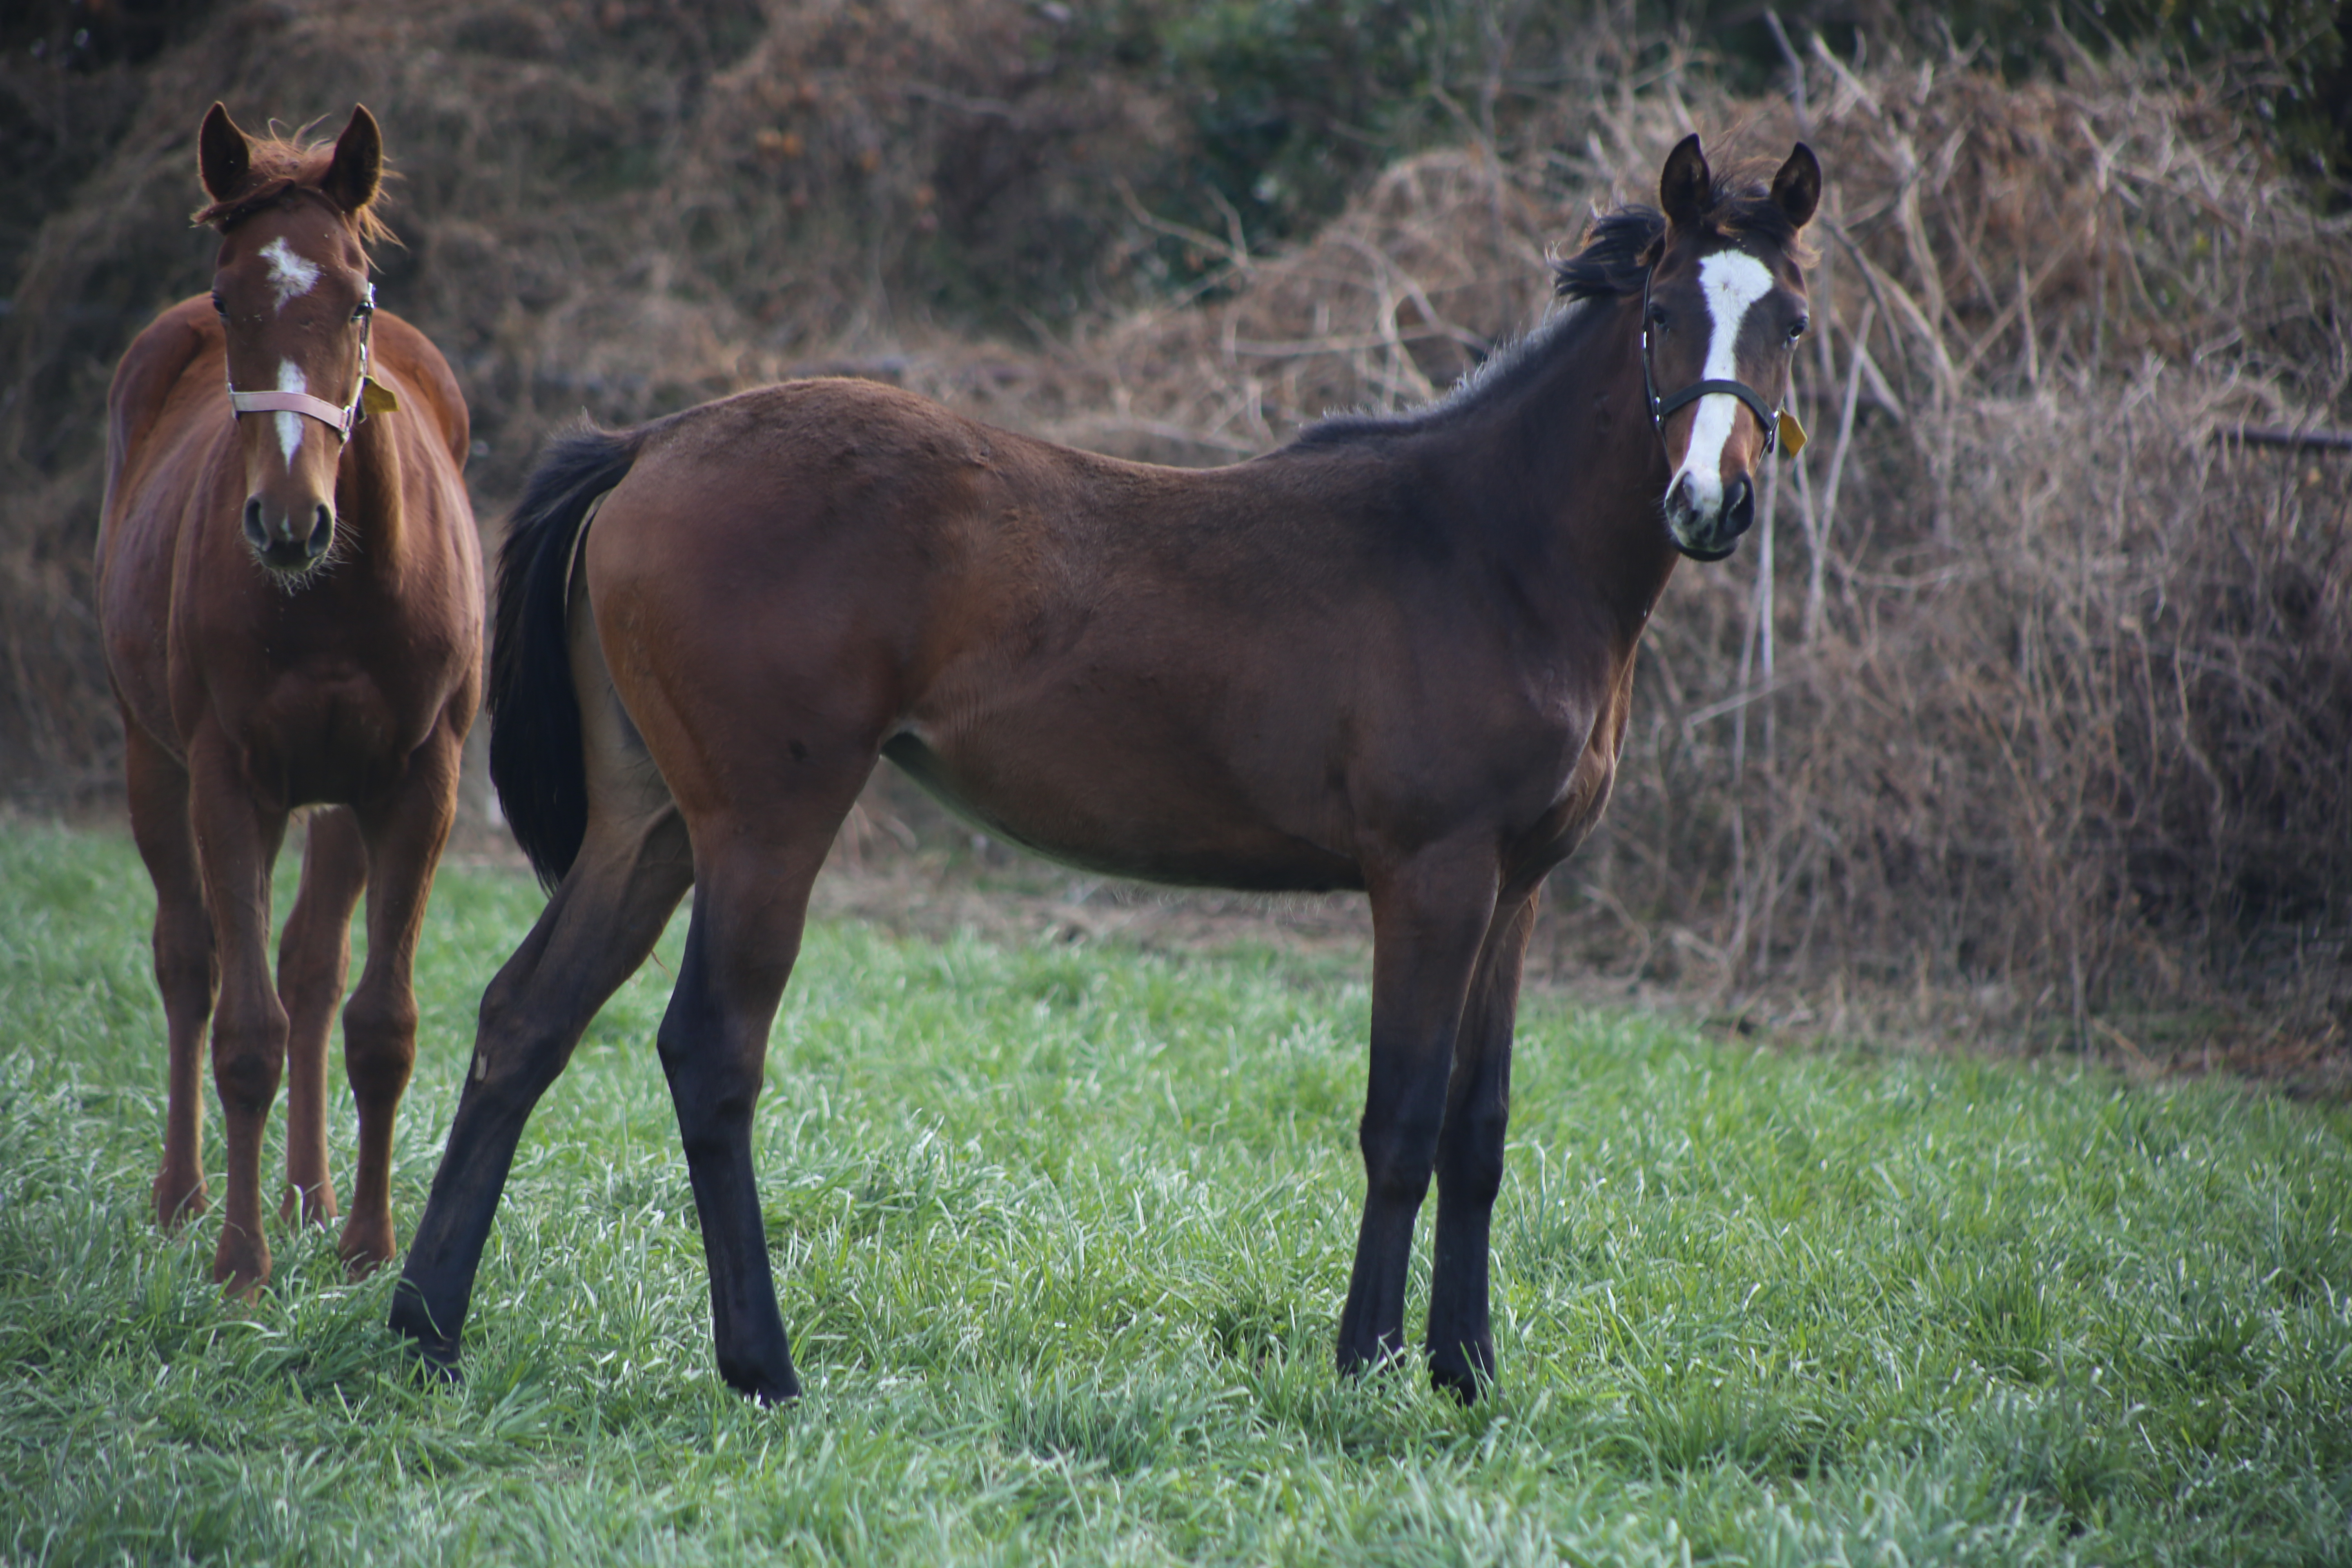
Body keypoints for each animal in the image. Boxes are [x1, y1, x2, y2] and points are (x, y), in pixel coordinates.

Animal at [100, 104, 482, 1297]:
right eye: (232, 301)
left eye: (359, 300)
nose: (287, 522)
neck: (333, 594)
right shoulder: (230, 779)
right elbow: (243, 1031)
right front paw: (239, 1267)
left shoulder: (416, 781)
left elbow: (379, 1022)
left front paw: (371, 1251)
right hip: (156, 762)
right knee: (190, 960)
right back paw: (185, 1200)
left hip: (341, 798)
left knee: (314, 969)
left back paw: (311, 1199)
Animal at [390, 138, 1815, 1401]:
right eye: (1665, 311)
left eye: (1791, 320)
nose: (1712, 504)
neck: (1489, 550)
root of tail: (651, 441)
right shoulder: (1432, 874)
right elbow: (1401, 1122)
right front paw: (1367, 1366)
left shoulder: (1515, 889)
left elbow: (1479, 1131)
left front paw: (1466, 1373)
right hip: (764, 821)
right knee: (711, 1050)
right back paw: (764, 1369)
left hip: (650, 823)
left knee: (525, 1019)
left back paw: (426, 1334)